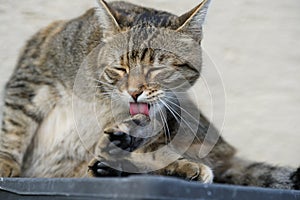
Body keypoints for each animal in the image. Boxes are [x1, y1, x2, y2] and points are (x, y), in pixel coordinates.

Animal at [0, 0, 298, 190]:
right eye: (120, 68)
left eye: (156, 68)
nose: (134, 92)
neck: (101, 95)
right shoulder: (32, 79)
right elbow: (13, 127)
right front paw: (5, 164)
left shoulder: (162, 109)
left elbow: (148, 129)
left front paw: (128, 137)